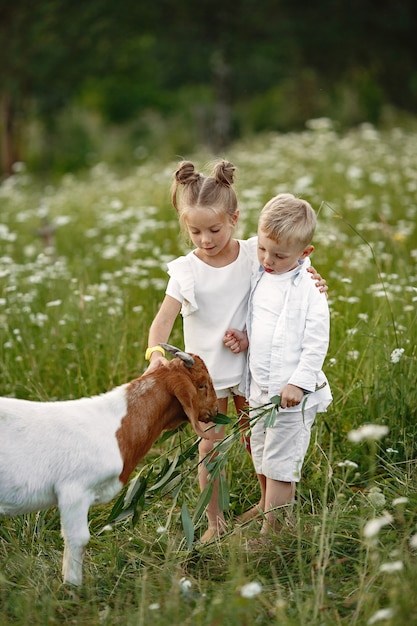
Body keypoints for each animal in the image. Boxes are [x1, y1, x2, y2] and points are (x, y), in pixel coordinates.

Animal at [0, 344, 214, 584]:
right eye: (202, 384)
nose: (216, 411)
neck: (116, 426)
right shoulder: (73, 491)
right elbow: (78, 539)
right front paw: (72, 586)